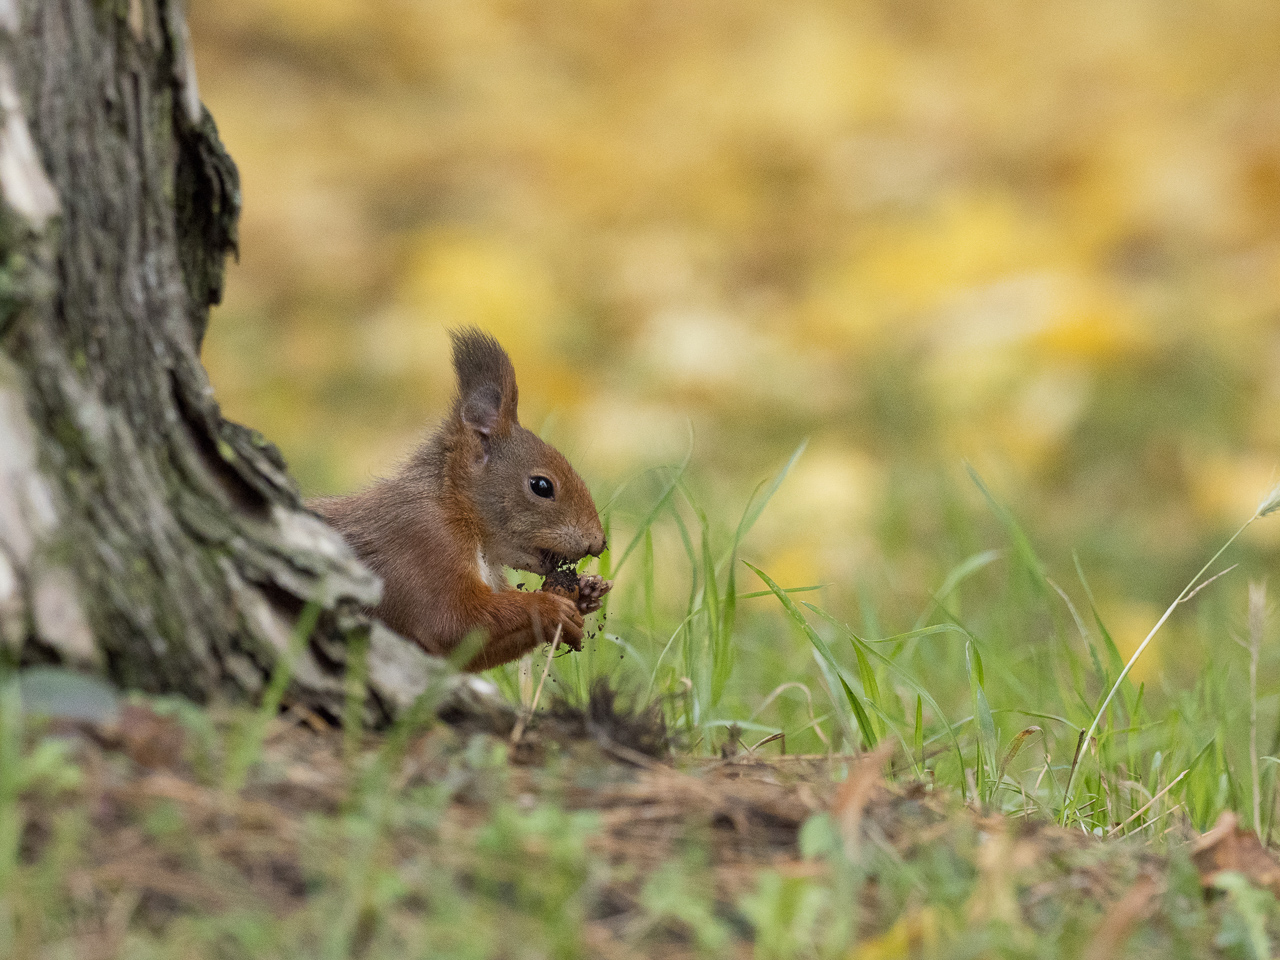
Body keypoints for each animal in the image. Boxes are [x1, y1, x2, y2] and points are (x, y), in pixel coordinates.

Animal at [309, 327, 609, 670]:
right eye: (541, 486)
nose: (598, 542)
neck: (458, 507)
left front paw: (587, 592)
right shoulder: (422, 542)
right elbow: (451, 624)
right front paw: (550, 608)